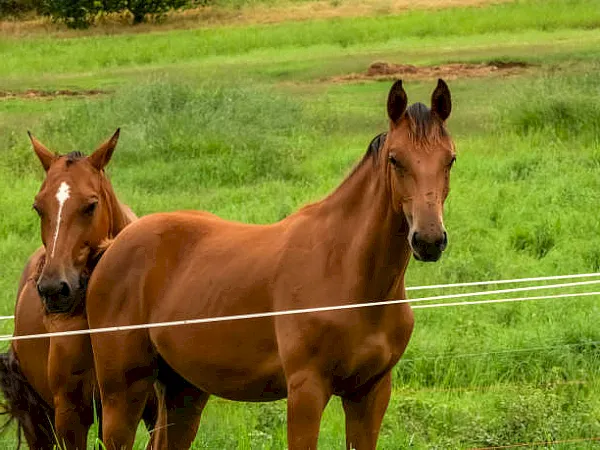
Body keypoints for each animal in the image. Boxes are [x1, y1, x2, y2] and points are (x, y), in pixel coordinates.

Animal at [85, 79, 454, 448]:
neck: (347, 273)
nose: (429, 240)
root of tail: (115, 243)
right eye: (395, 159)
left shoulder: (370, 393)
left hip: (182, 389)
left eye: (449, 159)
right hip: (123, 392)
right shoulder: (306, 391)